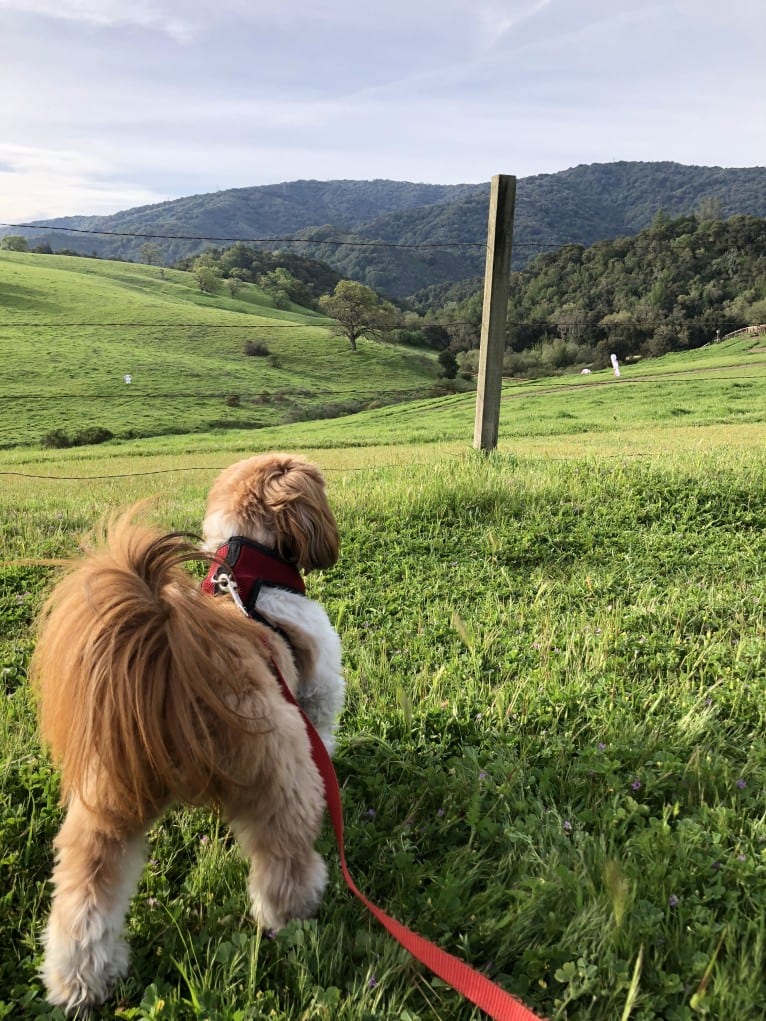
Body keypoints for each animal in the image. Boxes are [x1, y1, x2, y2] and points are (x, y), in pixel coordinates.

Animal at [32, 453, 345, 1012]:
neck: (251, 567)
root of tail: (172, 669)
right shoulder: (318, 691)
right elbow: (325, 727)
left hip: (106, 800)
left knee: (86, 895)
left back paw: (80, 983)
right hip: (282, 772)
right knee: (282, 861)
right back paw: (297, 917)